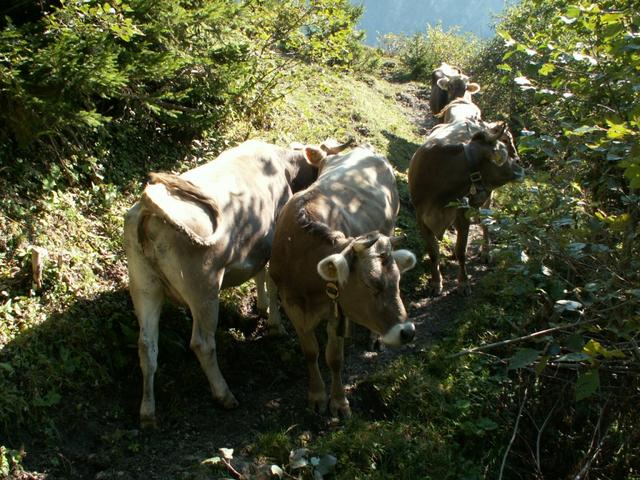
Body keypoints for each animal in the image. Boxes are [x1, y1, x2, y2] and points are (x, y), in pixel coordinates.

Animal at [122, 137, 348, 426]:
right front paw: (275, 324)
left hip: (143, 286)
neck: (283, 163)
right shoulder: (273, 241)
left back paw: (148, 412)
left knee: (147, 346)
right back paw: (224, 394)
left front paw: (261, 306)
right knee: (202, 343)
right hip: (203, 288)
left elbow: (259, 273)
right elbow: (270, 279)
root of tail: (148, 206)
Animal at [268, 143, 416, 416]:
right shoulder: (292, 302)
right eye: (370, 283)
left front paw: (338, 402)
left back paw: (374, 337)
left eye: (398, 281)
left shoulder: (337, 309)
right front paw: (316, 395)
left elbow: (334, 358)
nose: (407, 332)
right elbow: (310, 352)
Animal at [410, 119, 524, 296]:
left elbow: (462, 250)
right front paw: (436, 282)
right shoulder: (420, 216)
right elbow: (433, 252)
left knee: (485, 223)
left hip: (487, 198)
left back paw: (486, 252)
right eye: (503, 149)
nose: (520, 164)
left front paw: (463, 283)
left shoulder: (462, 213)